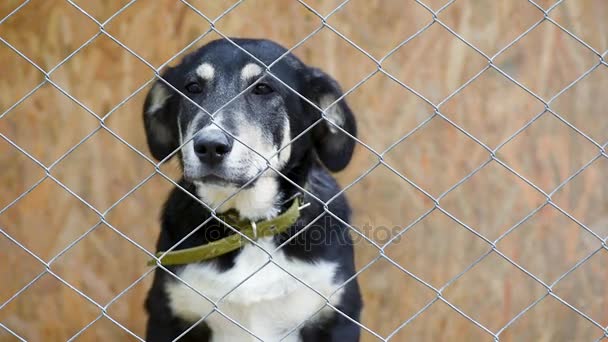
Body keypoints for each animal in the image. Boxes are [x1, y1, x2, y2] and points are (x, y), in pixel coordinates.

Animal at [142, 38, 360, 342]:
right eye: (193, 87)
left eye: (263, 88)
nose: (210, 146)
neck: (251, 224)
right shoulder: (169, 316)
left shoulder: (335, 316)